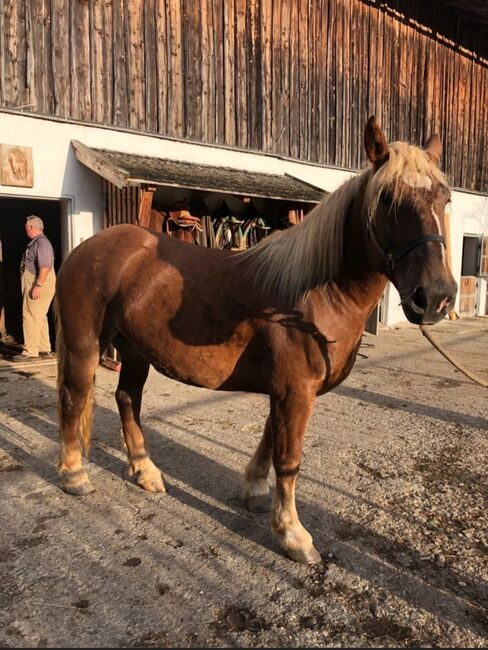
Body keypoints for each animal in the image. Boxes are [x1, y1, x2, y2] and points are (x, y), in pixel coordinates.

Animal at [54, 116, 458, 560]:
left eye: (445, 198)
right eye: (387, 198)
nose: (435, 297)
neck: (313, 296)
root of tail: (89, 247)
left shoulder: (285, 389)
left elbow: (268, 441)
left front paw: (254, 493)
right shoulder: (294, 390)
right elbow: (289, 459)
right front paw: (293, 535)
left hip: (135, 350)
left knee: (127, 399)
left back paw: (146, 473)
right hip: (85, 345)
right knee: (75, 397)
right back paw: (74, 476)